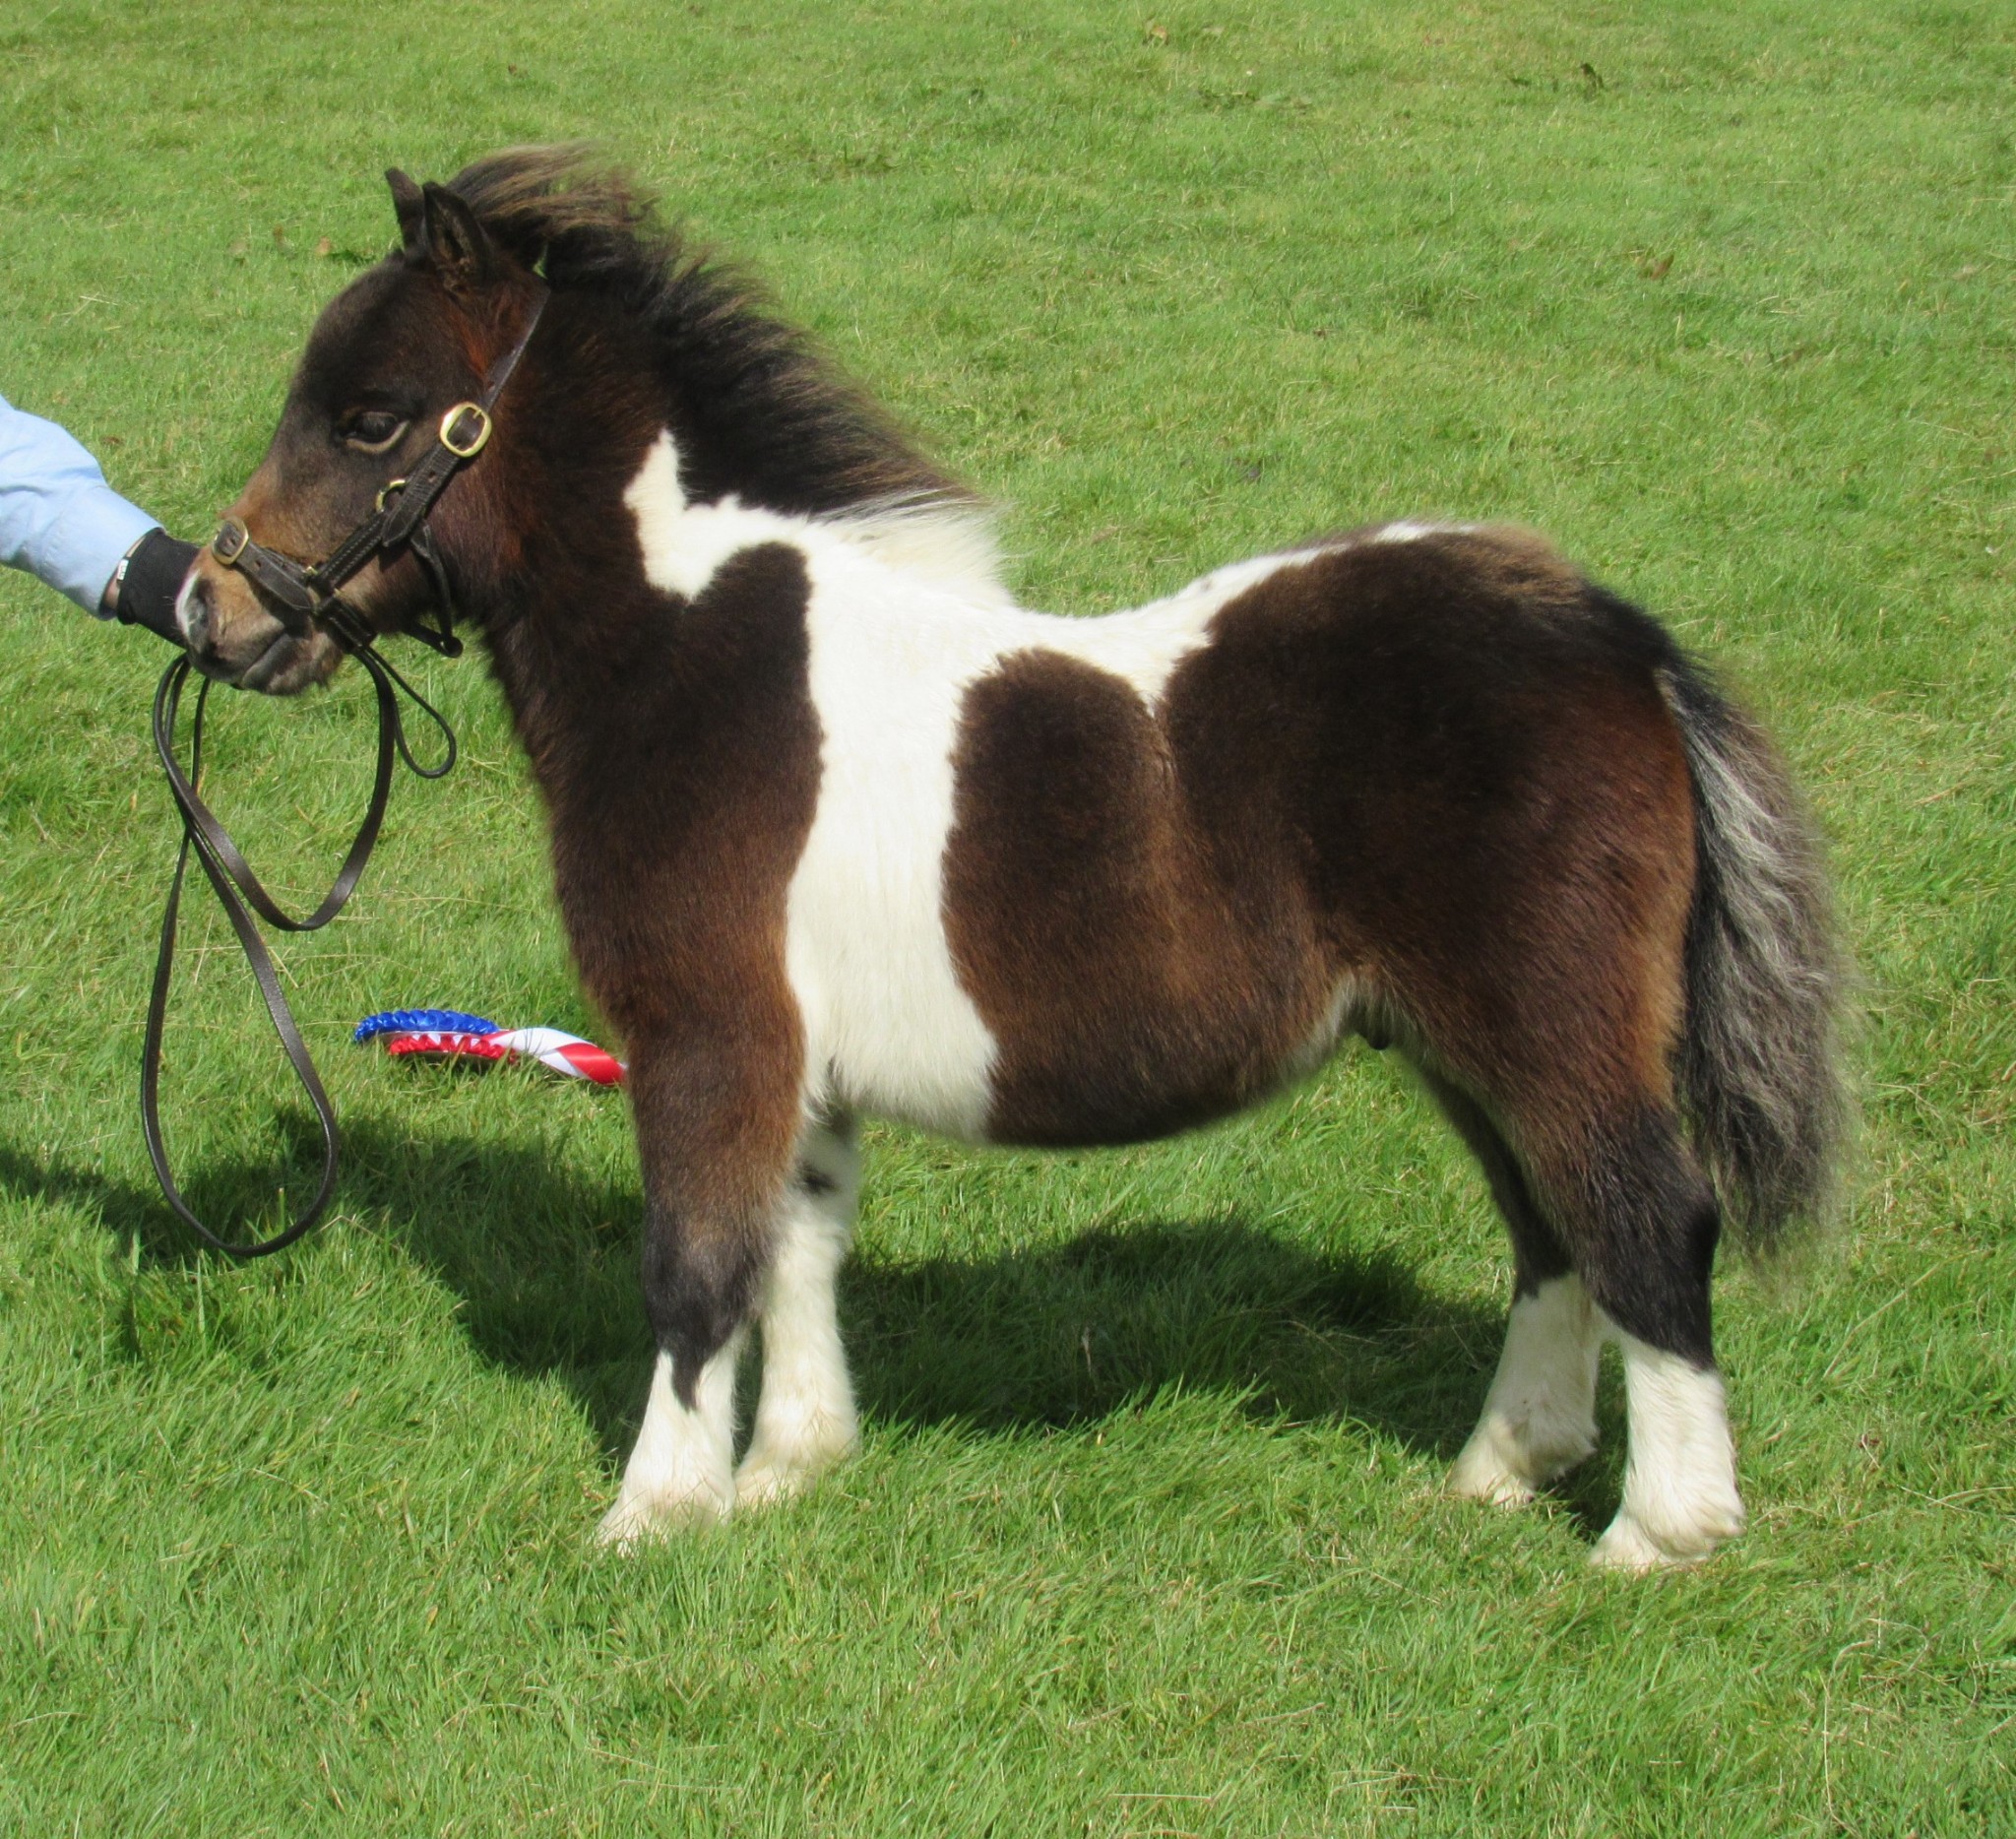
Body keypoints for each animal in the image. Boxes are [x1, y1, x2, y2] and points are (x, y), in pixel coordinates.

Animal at [181, 148, 1847, 1569]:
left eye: (377, 419)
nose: (213, 607)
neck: (694, 651)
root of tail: (1614, 638)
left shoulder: (706, 1036)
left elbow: (697, 1267)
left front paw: (651, 1515)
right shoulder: (799, 1064)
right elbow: (798, 1245)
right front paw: (789, 1469)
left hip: (1548, 1025)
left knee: (1644, 1218)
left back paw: (1660, 1532)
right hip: (1460, 1038)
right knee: (1550, 1227)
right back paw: (1504, 1469)